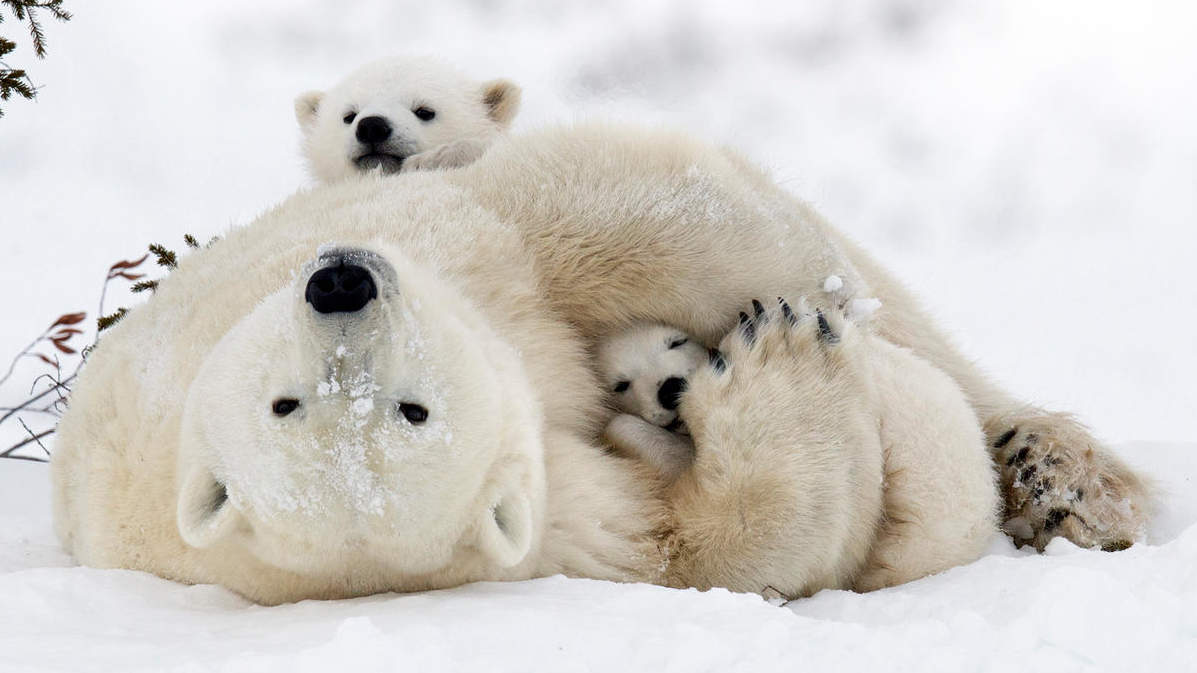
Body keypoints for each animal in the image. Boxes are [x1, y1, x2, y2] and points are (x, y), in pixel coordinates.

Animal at [51, 120, 1153, 603]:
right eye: (416, 409)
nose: (342, 283)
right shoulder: (551, 531)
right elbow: (705, 545)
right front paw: (777, 357)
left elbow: (635, 218)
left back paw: (1063, 478)